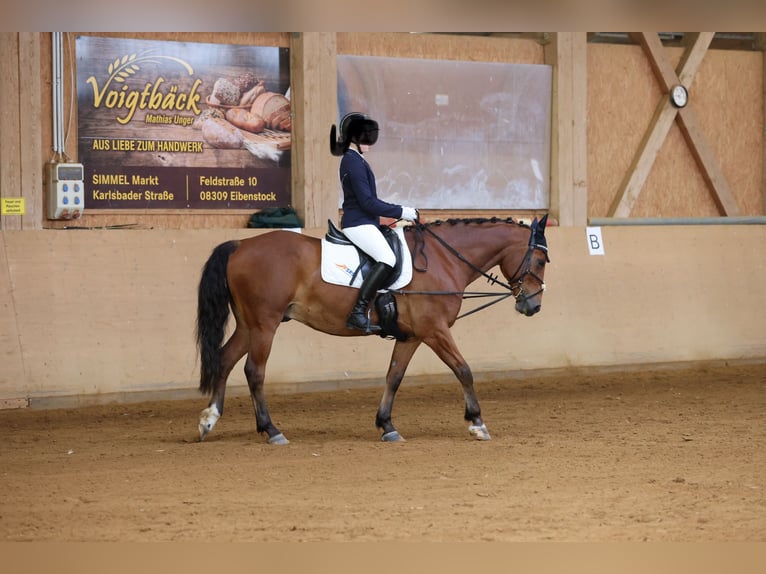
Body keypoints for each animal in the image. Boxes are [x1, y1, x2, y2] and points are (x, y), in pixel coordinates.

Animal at [195, 216, 548, 446]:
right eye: (542, 260)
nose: (532, 305)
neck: (443, 260)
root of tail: (240, 244)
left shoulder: (413, 335)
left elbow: (394, 376)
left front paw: (387, 425)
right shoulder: (434, 330)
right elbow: (464, 370)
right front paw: (477, 423)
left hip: (249, 325)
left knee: (224, 360)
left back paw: (209, 420)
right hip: (264, 324)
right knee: (254, 371)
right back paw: (271, 430)